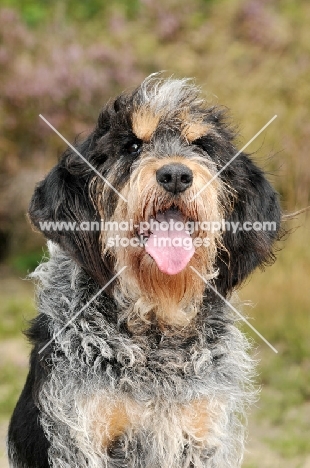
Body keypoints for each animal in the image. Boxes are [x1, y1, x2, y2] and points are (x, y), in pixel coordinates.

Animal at [7, 75, 280, 466]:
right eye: (132, 145)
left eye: (201, 146)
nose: (176, 174)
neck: (155, 330)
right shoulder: (82, 435)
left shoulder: (201, 433)